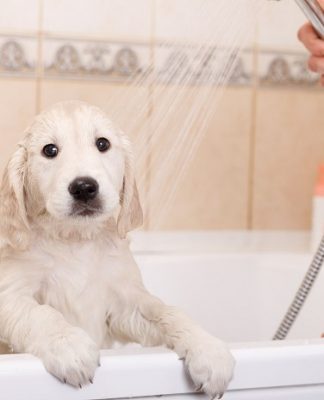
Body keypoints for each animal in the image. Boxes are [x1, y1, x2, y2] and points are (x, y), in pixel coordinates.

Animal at [0, 101, 234, 396]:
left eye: (103, 143)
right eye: (49, 150)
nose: (84, 187)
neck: (74, 240)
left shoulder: (125, 302)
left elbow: (167, 313)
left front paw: (207, 347)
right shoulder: (10, 296)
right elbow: (41, 314)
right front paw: (68, 344)